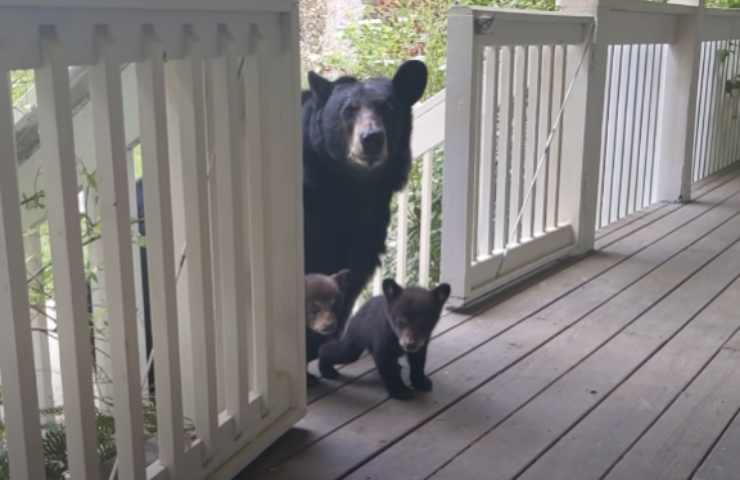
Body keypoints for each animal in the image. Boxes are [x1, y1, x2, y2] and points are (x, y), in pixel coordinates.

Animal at [320, 280, 450, 400]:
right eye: (401, 321)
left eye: (424, 323)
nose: (410, 344)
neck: (395, 336)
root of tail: (360, 310)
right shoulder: (383, 340)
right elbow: (387, 366)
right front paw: (400, 390)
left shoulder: (422, 344)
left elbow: (418, 362)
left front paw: (421, 382)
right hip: (355, 337)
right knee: (339, 351)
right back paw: (326, 370)